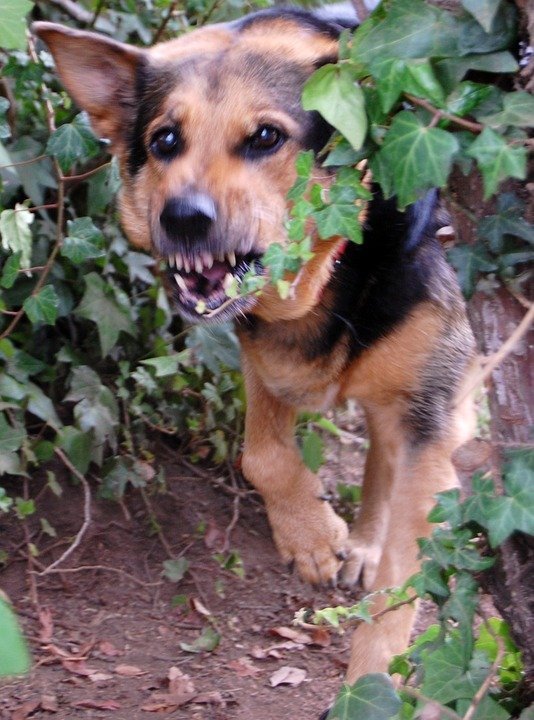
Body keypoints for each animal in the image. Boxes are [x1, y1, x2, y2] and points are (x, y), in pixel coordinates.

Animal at [33, 7, 478, 688]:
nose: (182, 218)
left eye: (267, 137)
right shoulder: (264, 357)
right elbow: (261, 456)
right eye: (165, 141)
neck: (328, 277)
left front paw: (369, 679)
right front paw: (311, 535)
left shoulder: (432, 415)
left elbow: (401, 589)